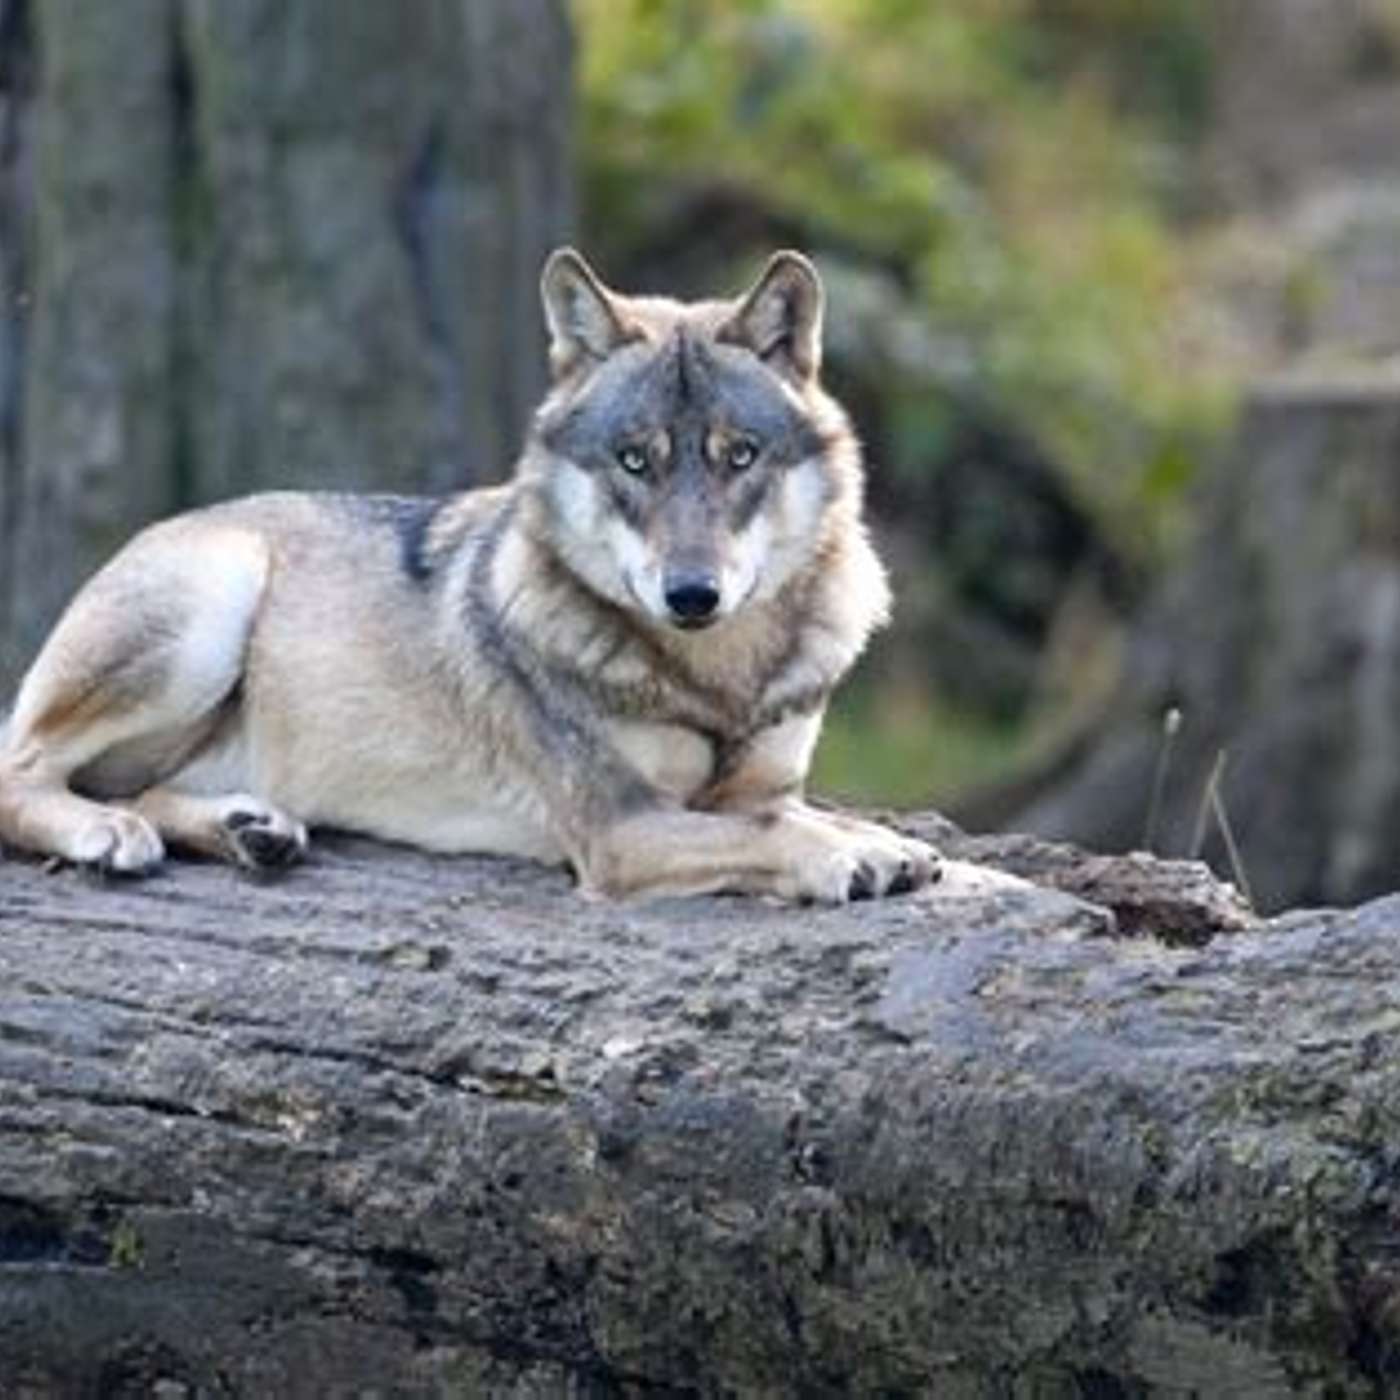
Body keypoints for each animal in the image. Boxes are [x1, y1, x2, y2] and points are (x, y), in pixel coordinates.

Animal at [0, 249, 939, 903]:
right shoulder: (619, 831)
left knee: (154, 790)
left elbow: (797, 812)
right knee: (23, 772)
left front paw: (891, 844)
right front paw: (849, 856)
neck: (719, 679)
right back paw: (108, 832)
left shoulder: (759, 786)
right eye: (635, 461)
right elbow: (781, 836)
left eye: (738, 456)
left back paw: (250, 829)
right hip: (208, 612)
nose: (692, 595)